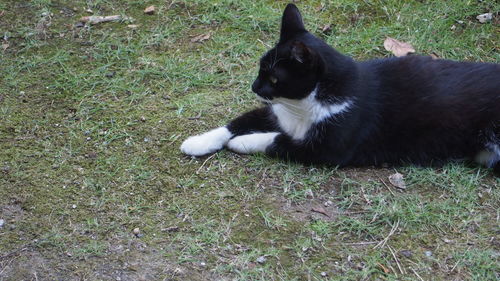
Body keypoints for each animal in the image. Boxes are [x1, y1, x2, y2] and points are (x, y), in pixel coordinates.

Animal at [180, 3, 500, 174]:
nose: (254, 86)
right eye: (260, 68)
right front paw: (198, 142)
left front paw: (243, 142)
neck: (303, 106)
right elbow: (237, 122)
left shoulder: (327, 148)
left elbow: (276, 141)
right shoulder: (277, 112)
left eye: (274, 79)